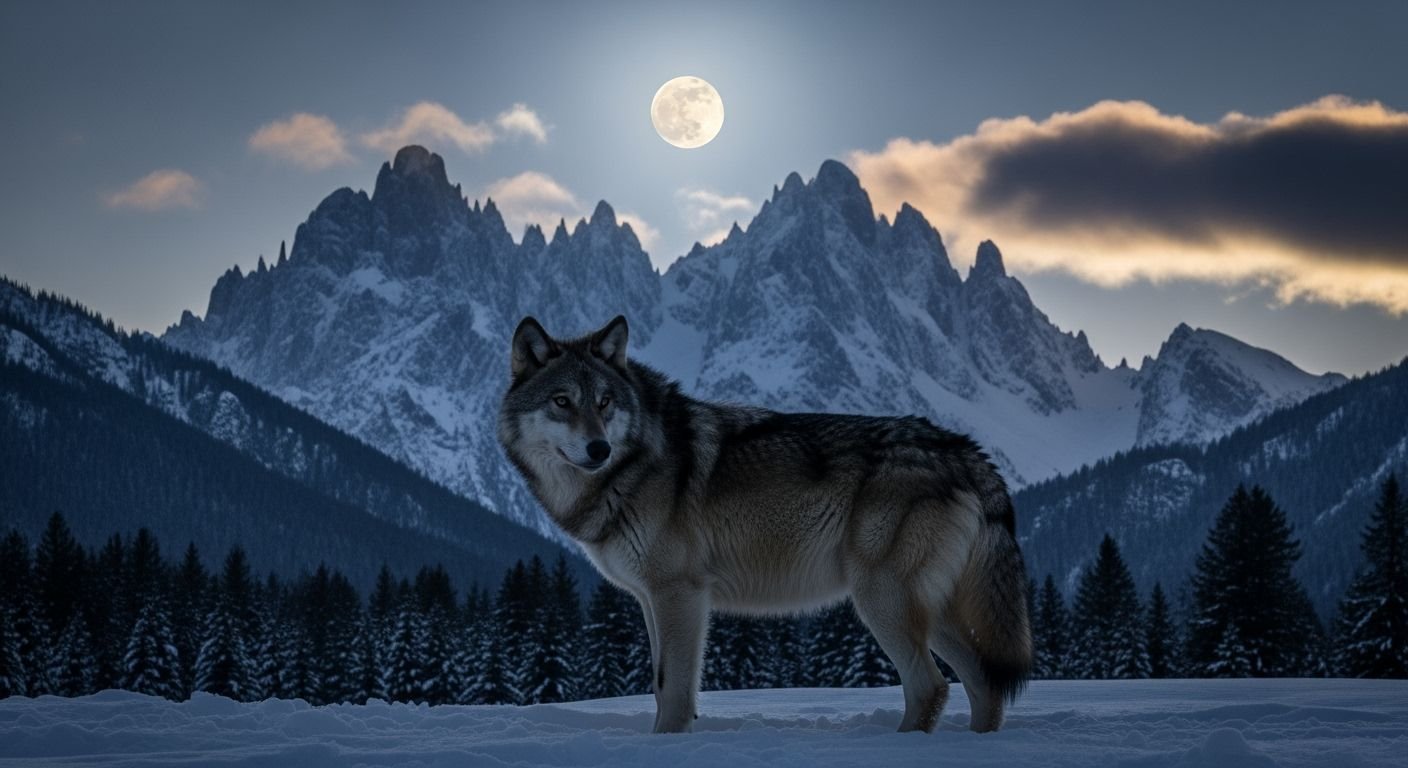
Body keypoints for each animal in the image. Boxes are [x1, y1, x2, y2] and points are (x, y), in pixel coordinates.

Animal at [498, 315, 1032, 734]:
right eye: (562, 402)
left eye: (605, 402)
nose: (599, 449)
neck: (631, 467)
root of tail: (962, 448)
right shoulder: (651, 599)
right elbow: (658, 684)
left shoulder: (681, 593)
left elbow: (673, 688)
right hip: (929, 610)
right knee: (983, 684)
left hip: (881, 600)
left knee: (932, 688)